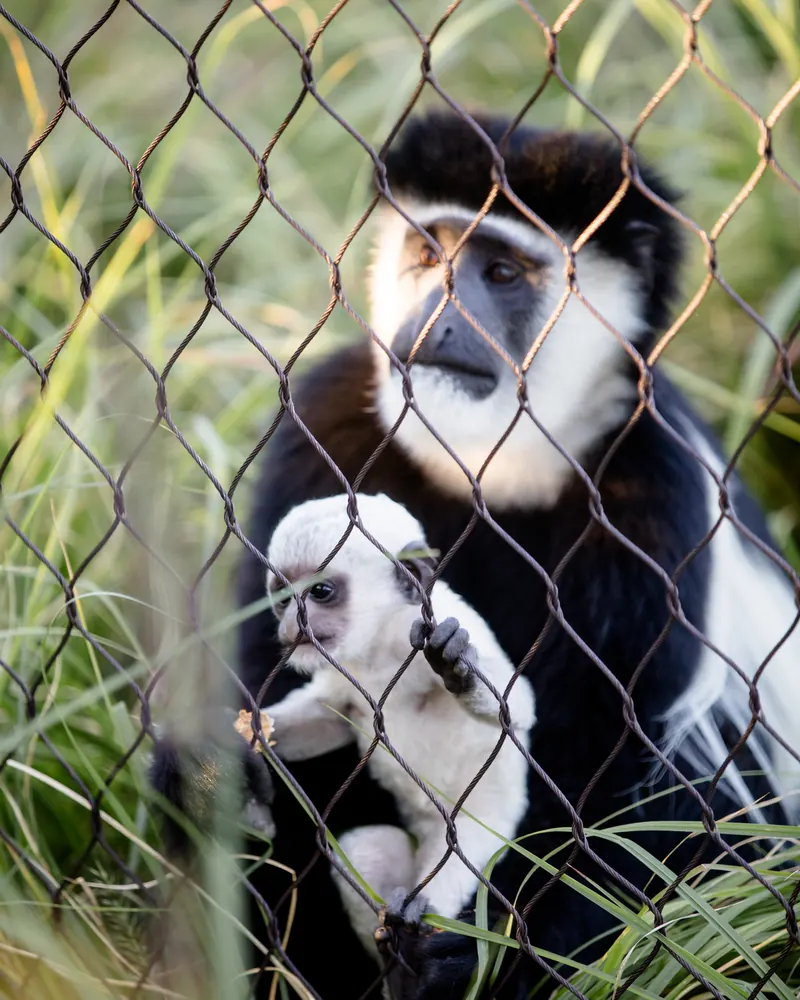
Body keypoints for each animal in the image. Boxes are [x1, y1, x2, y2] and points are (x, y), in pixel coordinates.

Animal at [262, 492, 535, 959]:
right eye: (282, 597)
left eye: (320, 592)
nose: (288, 626)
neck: (380, 647)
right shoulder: (346, 672)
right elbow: (326, 720)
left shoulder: (437, 626)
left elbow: (515, 711)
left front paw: (458, 669)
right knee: (369, 847)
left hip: (487, 821)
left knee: (456, 855)